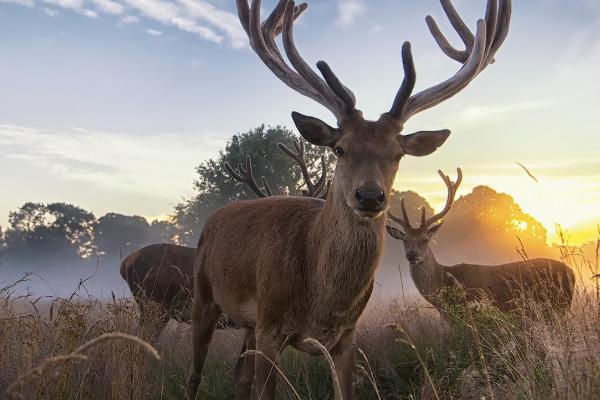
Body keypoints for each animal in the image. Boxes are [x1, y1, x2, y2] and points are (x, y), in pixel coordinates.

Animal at [188, 1, 510, 398]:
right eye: (339, 149)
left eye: (398, 154)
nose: (370, 195)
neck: (322, 302)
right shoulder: (271, 325)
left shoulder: (346, 336)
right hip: (204, 296)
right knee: (196, 375)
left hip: (247, 324)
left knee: (239, 375)